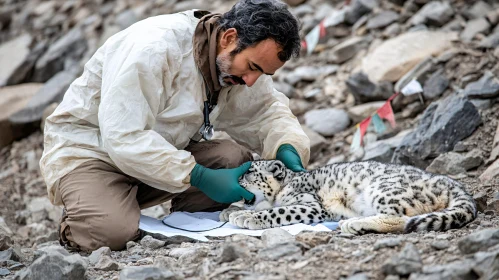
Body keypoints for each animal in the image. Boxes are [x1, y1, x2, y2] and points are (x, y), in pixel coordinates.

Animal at [221, 160, 478, 234]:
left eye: (250, 171)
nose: (235, 179)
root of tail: (450, 181)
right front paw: (229, 211)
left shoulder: (312, 205)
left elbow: (279, 210)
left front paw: (247, 217)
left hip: (384, 189)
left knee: (401, 219)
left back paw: (353, 223)